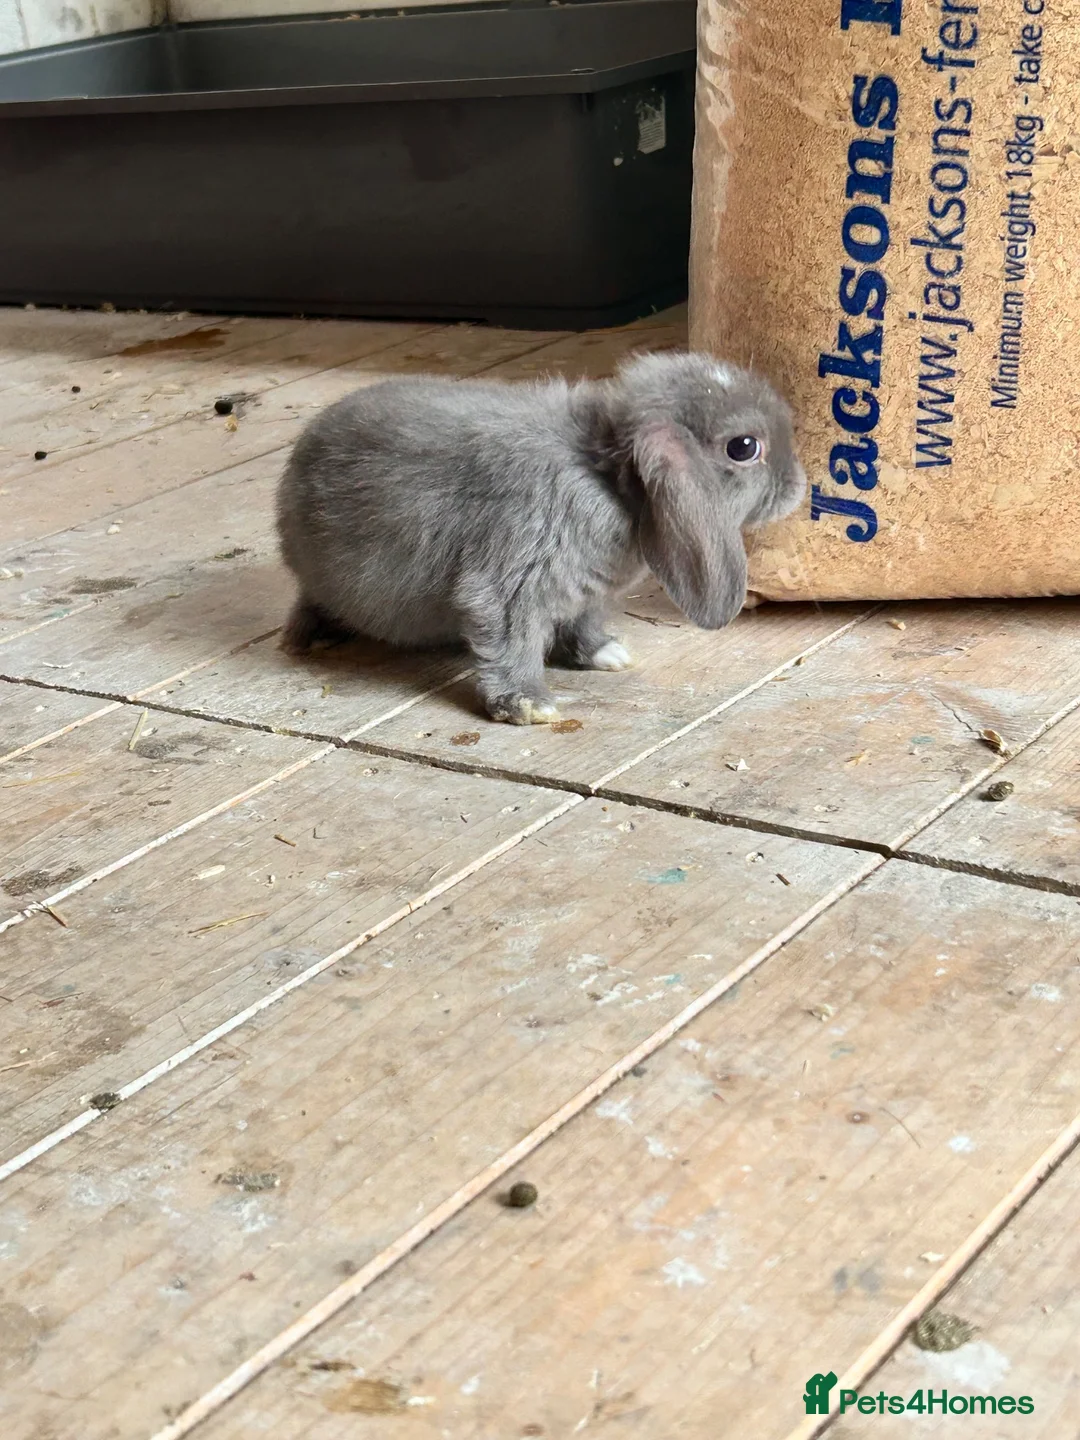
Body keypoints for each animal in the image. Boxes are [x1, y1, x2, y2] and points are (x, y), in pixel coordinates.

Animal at [276, 350, 805, 725]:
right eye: (744, 447)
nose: (799, 486)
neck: (607, 476)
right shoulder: (510, 587)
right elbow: (513, 641)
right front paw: (530, 707)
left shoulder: (588, 596)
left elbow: (583, 624)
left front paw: (607, 655)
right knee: (309, 602)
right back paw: (312, 638)